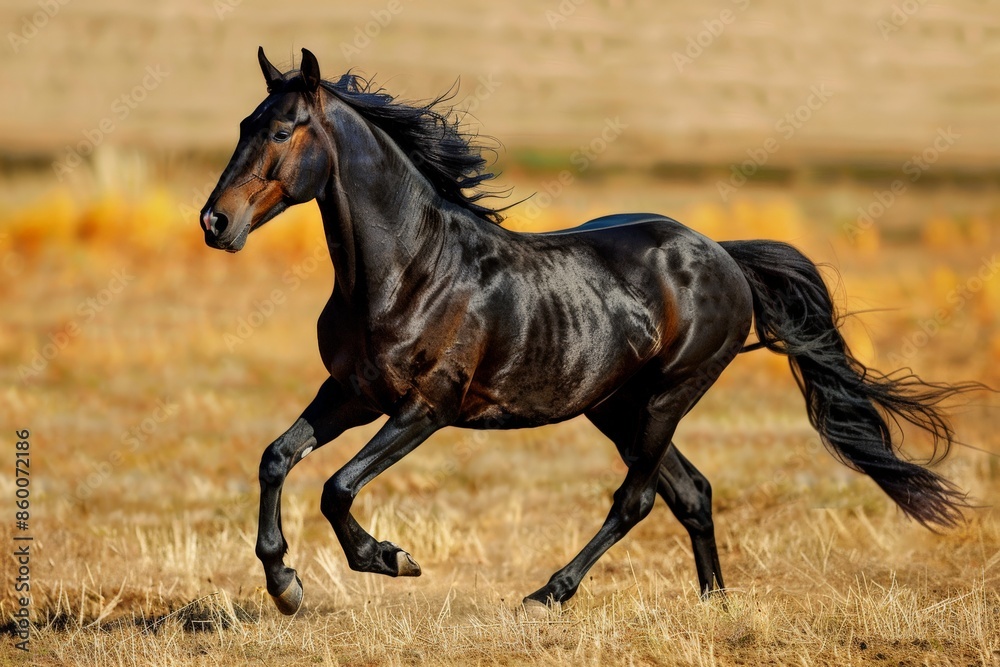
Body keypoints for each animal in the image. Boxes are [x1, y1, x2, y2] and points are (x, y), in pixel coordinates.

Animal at [200, 48, 977, 616]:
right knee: (691, 492)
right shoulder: (352, 392)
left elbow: (337, 486)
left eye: (281, 130)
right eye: (241, 124)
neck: (407, 270)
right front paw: (285, 585)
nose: (215, 222)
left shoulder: (425, 408)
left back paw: (549, 592)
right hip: (617, 406)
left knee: (638, 498)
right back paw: (714, 602)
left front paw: (392, 559)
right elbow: (277, 457)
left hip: (665, 398)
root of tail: (723, 256)